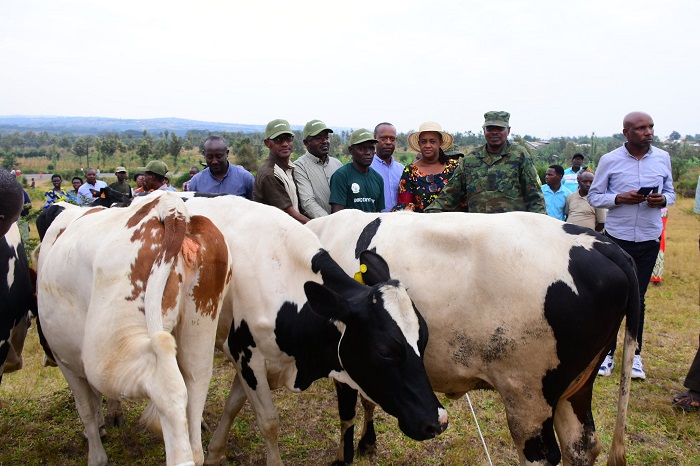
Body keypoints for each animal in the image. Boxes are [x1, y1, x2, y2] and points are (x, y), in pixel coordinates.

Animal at [37, 191, 232, 464]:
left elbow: (85, 409)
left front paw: (96, 453)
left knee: (168, 388)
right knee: (196, 383)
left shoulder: (65, 360)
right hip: (200, 325)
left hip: (107, 353)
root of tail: (169, 207)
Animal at [308, 211, 644, 466]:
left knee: (542, 455)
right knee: (582, 446)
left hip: (528, 395)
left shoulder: (348, 360)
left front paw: (344, 457)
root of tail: (598, 242)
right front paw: (368, 443)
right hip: (576, 387)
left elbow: (347, 414)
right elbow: (368, 401)